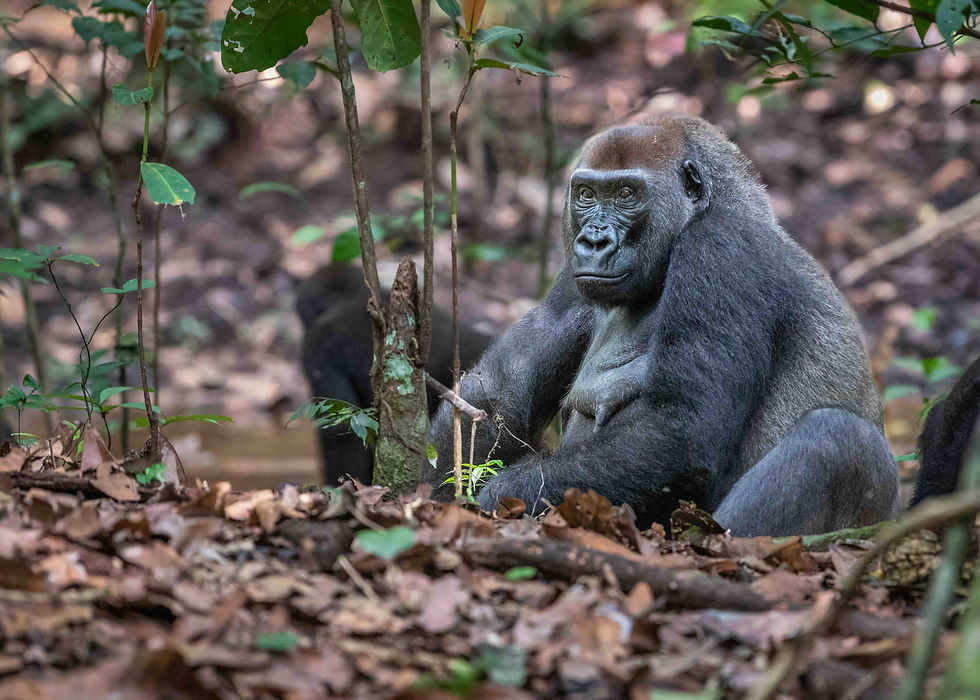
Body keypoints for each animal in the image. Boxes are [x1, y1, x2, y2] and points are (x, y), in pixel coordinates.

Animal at [425, 116, 902, 537]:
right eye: (585, 194)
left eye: (625, 193)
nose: (593, 240)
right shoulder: (572, 278)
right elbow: (503, 388)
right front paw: (424, 488)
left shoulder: (721, 246)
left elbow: (680, 427)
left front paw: (499, 497)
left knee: (835, 438)